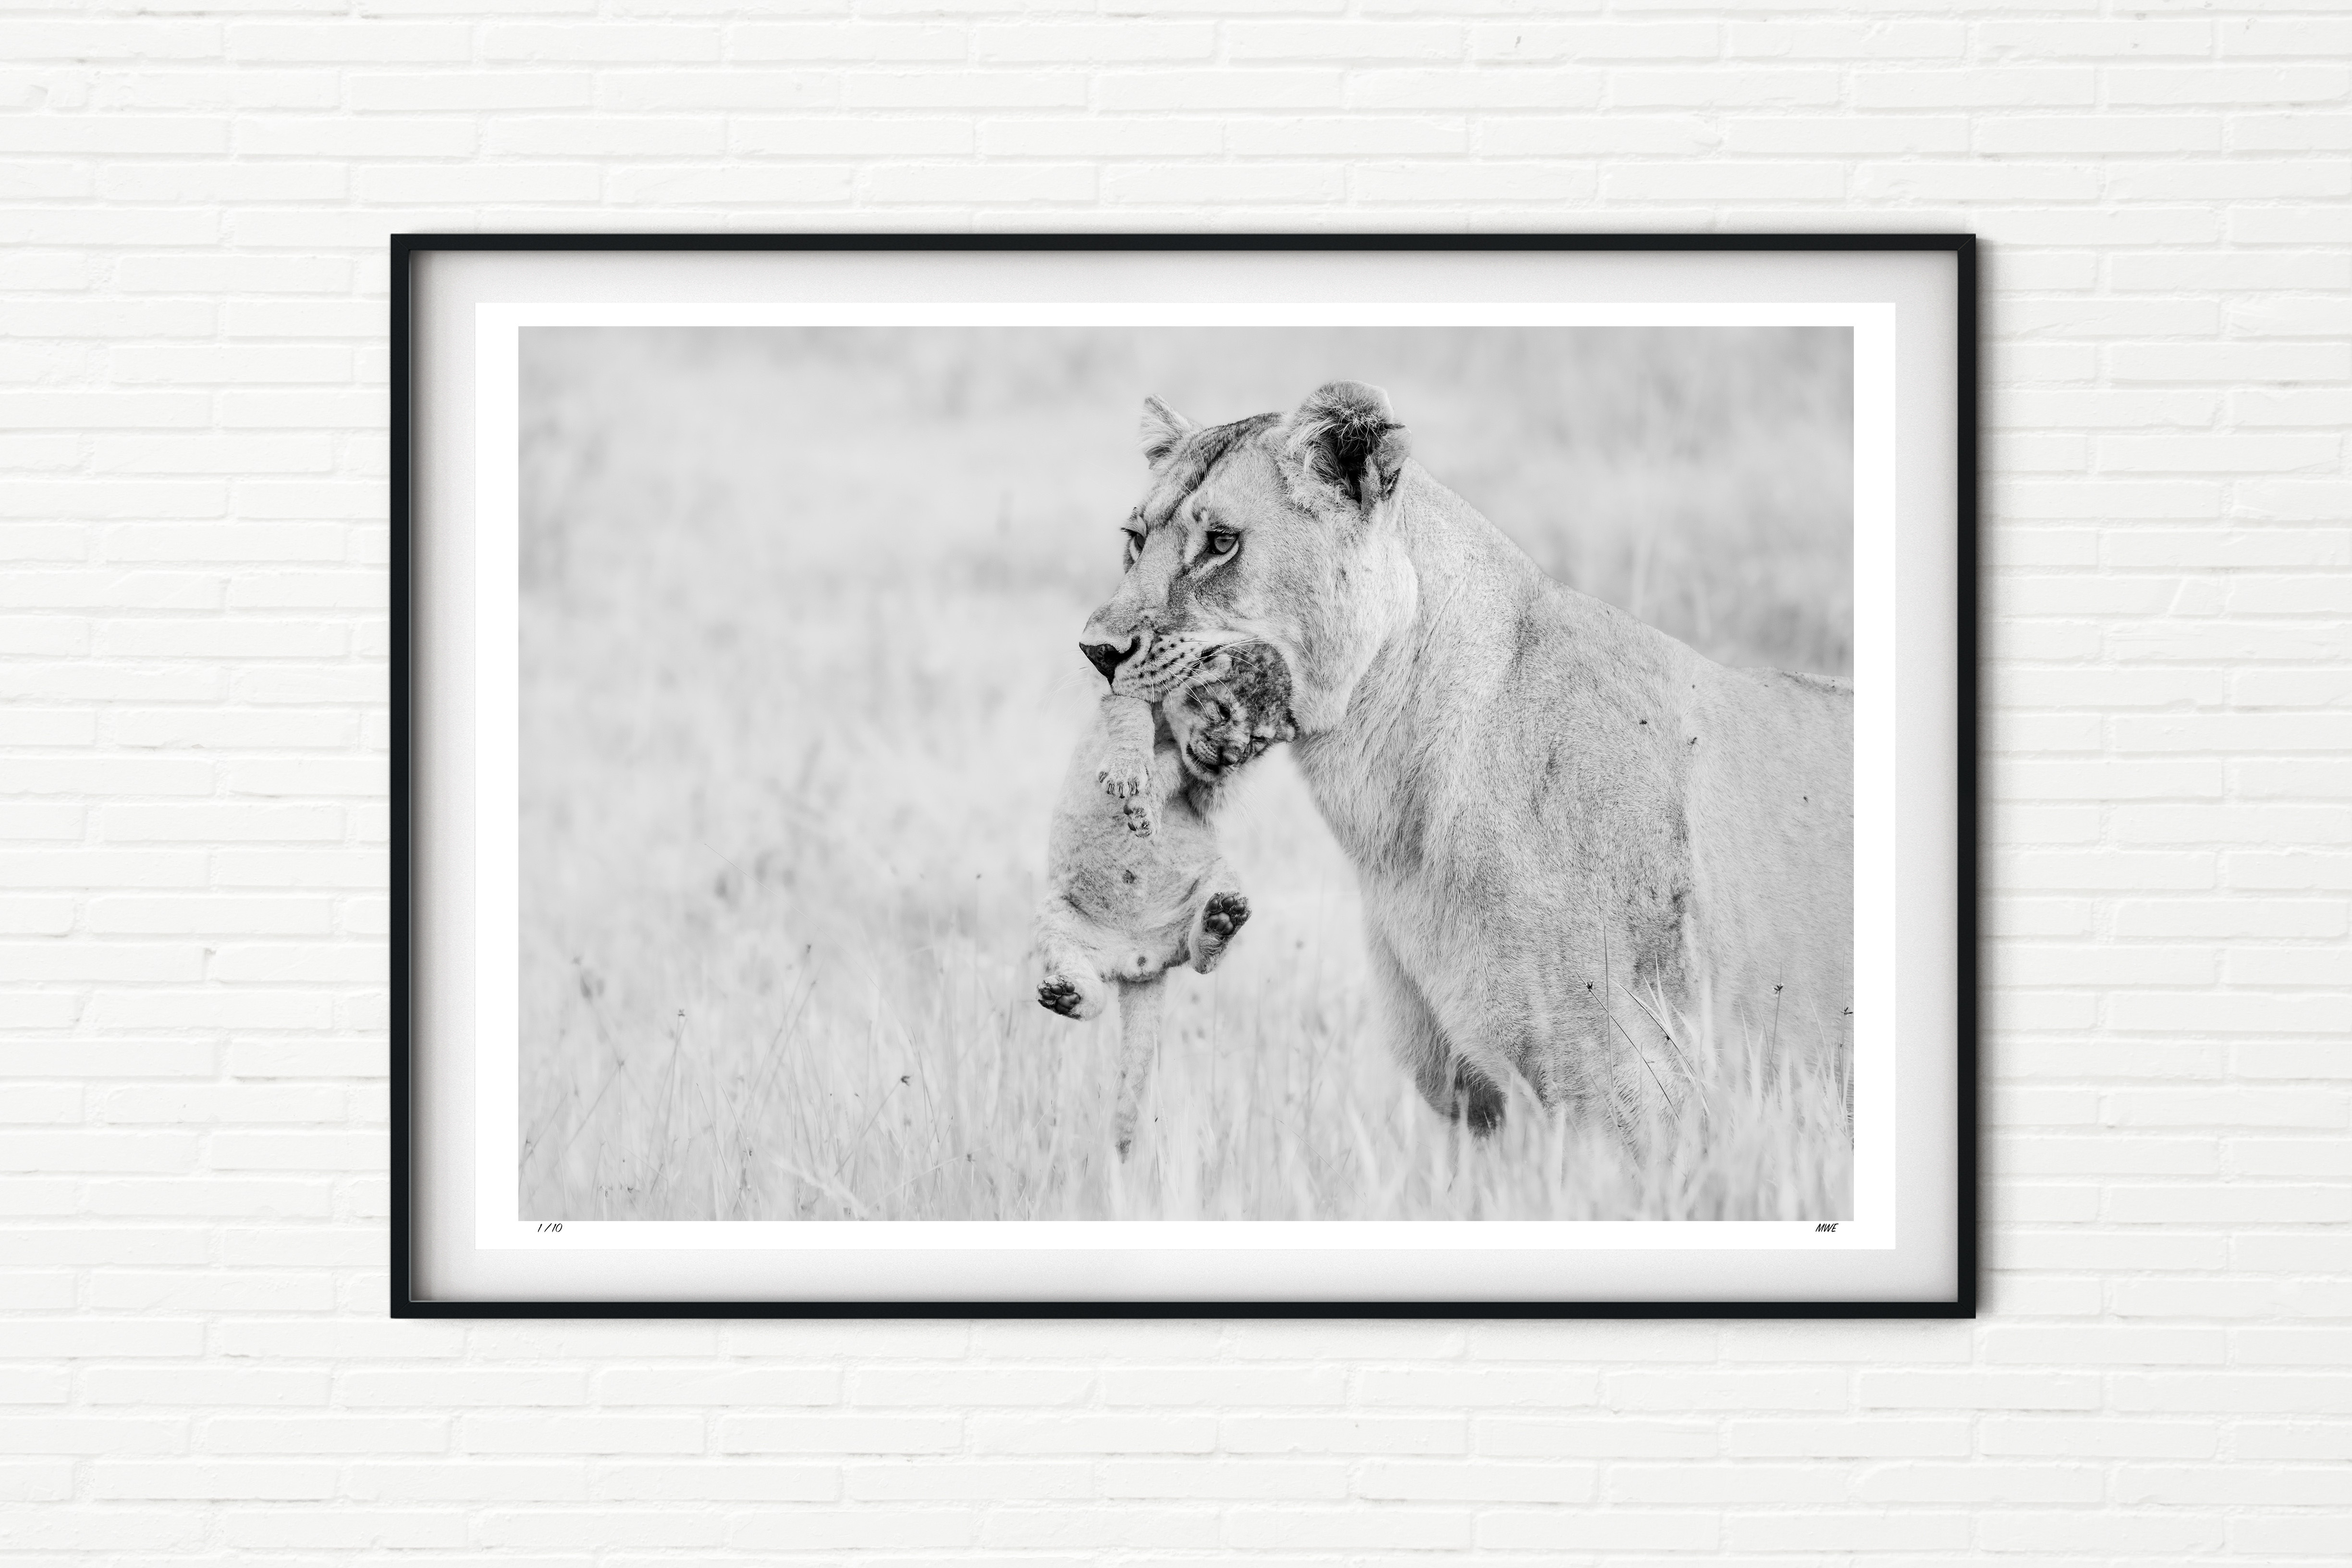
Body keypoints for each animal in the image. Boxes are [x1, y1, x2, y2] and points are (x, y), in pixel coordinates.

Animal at [1031, 640, 1296, 1156]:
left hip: (1219, 876)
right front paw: (1129, 772)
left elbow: (1179, 768)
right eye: (1223, 709)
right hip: (1056, 919)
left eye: (1258, 742)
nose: (1231, 756)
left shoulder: (1208, 786)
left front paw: (1146, 801)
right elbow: (1132, 715)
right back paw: (1067, 996)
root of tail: (1142, 964)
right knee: (1090, 990)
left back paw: (1219, 924)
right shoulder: (1117, 687)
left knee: (1200, 958)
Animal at [1077, 382, 1854, 1137]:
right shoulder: (1466, 1100)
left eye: (1220, 543)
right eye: (1135, 540)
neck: (1391, 806)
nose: (1097, 651)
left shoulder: (1634, 1091)